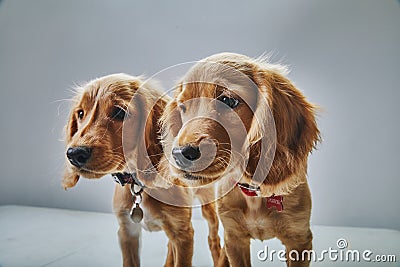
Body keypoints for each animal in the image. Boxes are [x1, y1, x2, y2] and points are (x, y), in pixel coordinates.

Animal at [61, 74, 220, 267]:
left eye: (119, 113)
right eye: (81, 113)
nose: (74, 154)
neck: (139, 184)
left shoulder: (183, 233)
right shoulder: (127, 231)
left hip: (208, 204)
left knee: (214, 238)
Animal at [161, 52, 320, 267]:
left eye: (228, 100)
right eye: (182, 107)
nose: (178, 154)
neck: (253, 191)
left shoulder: (299, 239)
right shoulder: (234, 238)